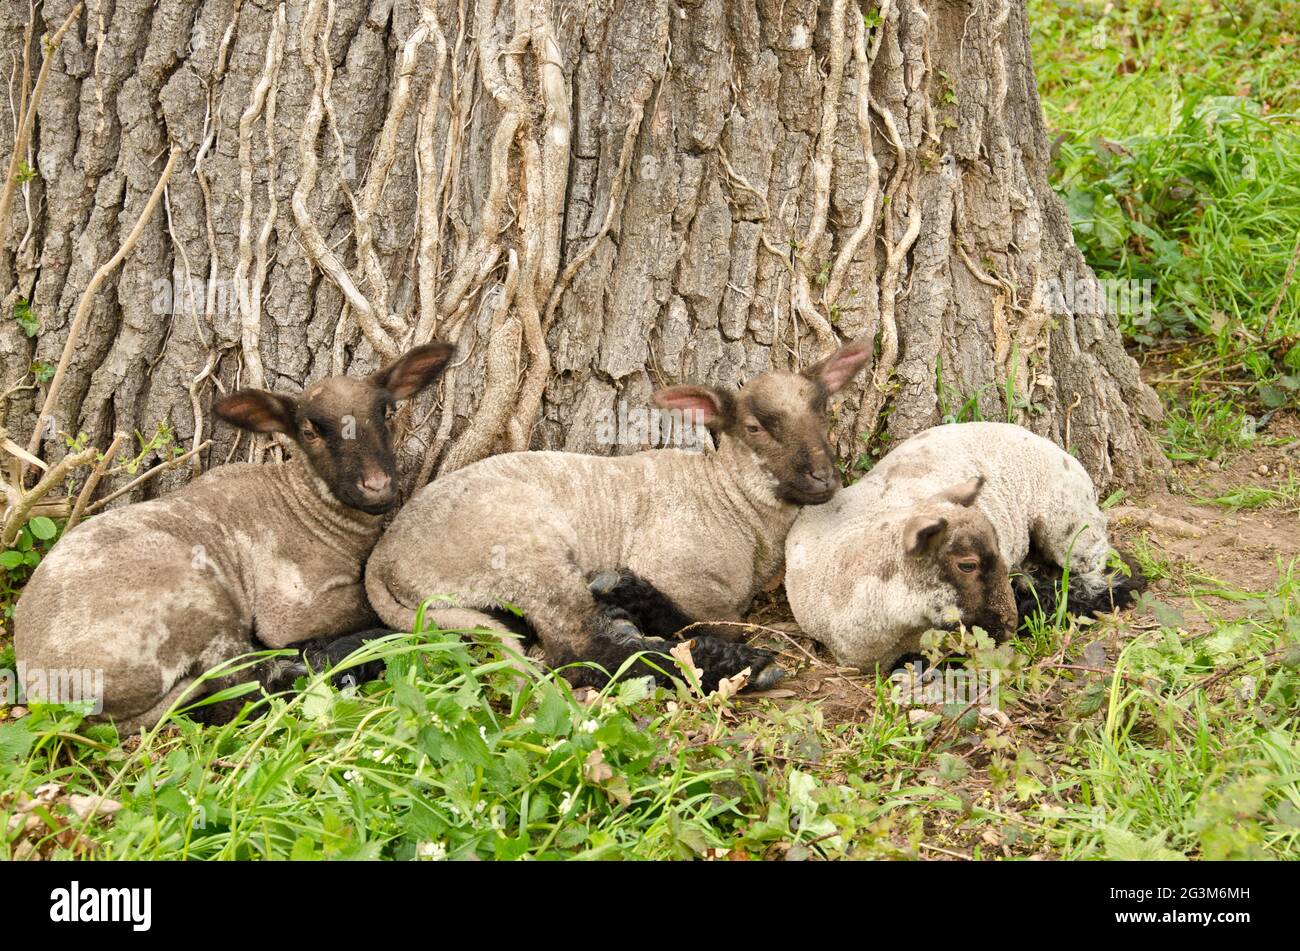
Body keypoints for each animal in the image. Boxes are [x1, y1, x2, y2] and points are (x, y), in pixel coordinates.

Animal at [13, 343, 454, 732]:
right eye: (309, 431)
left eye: (387, 412)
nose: (377, 486)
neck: (307, 505)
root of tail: (54, 696)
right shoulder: (290, 605)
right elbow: (368, 603)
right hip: (198, 606)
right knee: (241, 688)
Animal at [365, 341, 872, 693]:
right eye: (754, 427)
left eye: (823, 411)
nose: (824, 478)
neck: (730, 498)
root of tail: (385, 557)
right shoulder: (683, 575)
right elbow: (698, 620)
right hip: (526, 556)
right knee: (577, 650)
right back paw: (739, 666)